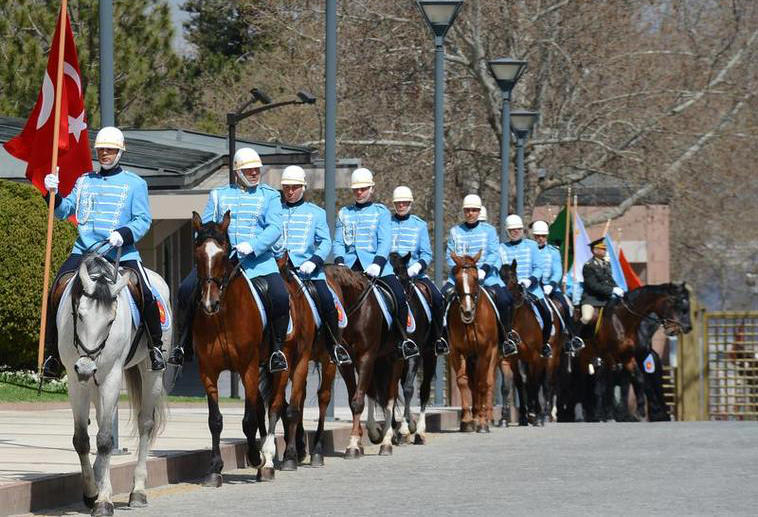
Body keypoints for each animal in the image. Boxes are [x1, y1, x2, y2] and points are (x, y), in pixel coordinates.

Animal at [58, 255, 171, 516]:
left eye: (110, 321)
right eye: (79, 315)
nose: (86, 367)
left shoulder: (111, 378)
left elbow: (105, 440)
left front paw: (103, 500)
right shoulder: (76, 381)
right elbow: (82, 439)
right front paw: (91, 492)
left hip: (152, 372)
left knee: (145, 424)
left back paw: (138, 491)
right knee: (102, 423)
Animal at [191, 210, 274, 484]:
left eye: (224, 252)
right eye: (197, 254)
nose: (209, 303)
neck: (223, 317)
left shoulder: (248, 367)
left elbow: (248, 419)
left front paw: (256, 457)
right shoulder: (207, 371)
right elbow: (215, 420)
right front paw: (215, 467)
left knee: (276, 405)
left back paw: (269, 458)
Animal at [324, 264, 406, 454]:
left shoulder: (366, 357)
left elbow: (358, 401)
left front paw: (354, 444)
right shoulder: (346, 363)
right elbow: (354, 398)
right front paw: (358, 440)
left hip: (395, 359)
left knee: (390, 397)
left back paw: (387, 441)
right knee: (373, 393)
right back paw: (376, 432)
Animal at [448, 250, 502, 432]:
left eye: (476, 278)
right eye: (456, 278)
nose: (467, 311)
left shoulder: (485, 351)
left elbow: (482, 383)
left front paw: (482, 422)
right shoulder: (457, 351)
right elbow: (463, 382)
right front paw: (466, 420)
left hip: (493, 355)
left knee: (488, 381)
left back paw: (486, 417)